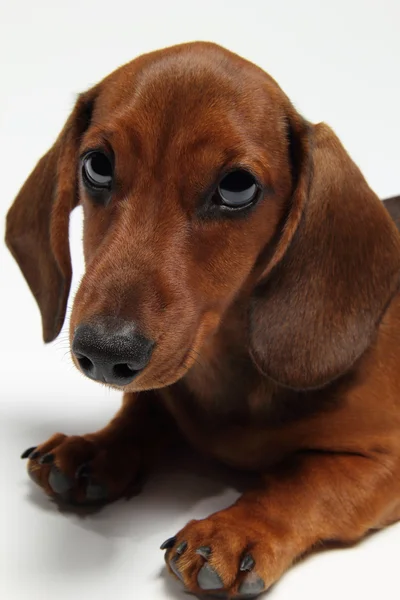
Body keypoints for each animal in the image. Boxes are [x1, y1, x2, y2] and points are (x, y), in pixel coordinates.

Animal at [5, 43, 400, 600]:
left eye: (237, 187)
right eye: (96, 165)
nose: (104, 352)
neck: (227, 365)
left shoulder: (384, 459)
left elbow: (305, 480)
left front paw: (236, 529)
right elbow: (142, 414)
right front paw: (94, 448)